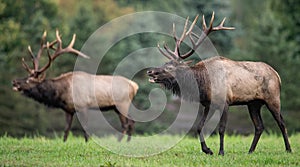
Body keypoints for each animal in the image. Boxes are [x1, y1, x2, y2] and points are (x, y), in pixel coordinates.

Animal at [146, 12, 292, 155]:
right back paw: (250, 151)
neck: (203, 84)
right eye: (164, 63)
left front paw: (221, 152)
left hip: (273, 98)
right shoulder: (208, 105)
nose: (150, 71)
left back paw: (288, 149)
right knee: (259, 126)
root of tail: (277, 75)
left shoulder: (225, 102)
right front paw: (207, 150)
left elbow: (221, 129)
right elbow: (199, 126)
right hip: (253, 103)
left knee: (282, 123)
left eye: (170, 68)